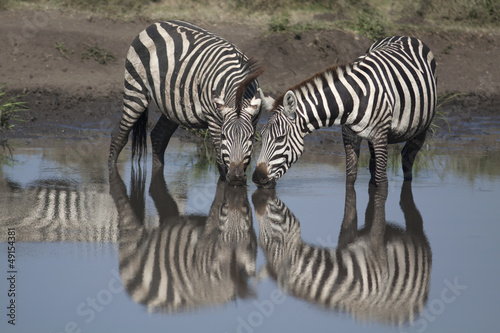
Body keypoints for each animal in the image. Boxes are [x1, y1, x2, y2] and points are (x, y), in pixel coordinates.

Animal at [108, 21, 274, 184]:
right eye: (223, 136)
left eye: (251, 137)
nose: (236, 176)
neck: (240, 87)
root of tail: (154, 24)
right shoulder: (213, 121)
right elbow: (220, 161)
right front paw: (225, 183)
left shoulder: (254, 120)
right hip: (136, 90)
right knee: (120, 134)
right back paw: (111, 169)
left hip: (172, 105)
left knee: (158, 136)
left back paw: (158, 169)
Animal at [252, 36, 436, 188]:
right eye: (262, 135)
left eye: (280, 138)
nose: (256, 178)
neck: (353, 98)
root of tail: (405, 36)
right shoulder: (349, 135)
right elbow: (351, 176)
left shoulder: (379, 137)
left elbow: (381, 181)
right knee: (374, 165)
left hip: (421, 127)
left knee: (407, 159)